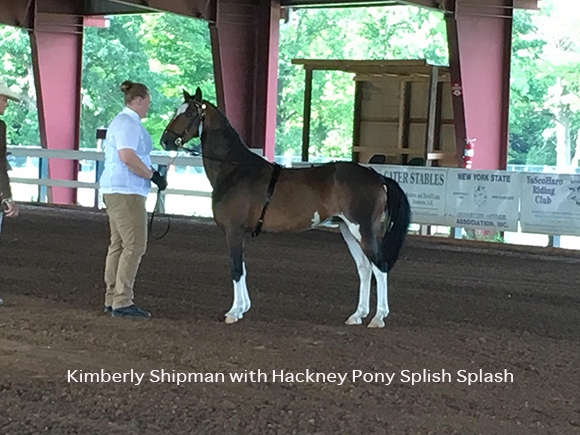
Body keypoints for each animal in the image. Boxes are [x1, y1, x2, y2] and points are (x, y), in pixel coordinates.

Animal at [161, 87, 410, 328]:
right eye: (177, 111)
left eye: (189, 113)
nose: (165, 141)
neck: (235, 169)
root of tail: (376, 176)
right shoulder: (239, 233)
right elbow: (243, 268)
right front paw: (243, 308)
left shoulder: (233, 231)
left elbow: (236, 269)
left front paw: (234, 312)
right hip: (347, 230)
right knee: (365, 269)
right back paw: (357, 315)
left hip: (363, 230)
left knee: (380, 266)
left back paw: (378, 318)